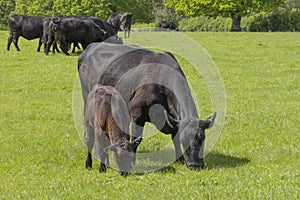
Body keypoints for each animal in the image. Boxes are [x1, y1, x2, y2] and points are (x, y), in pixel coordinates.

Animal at [78, 43, 217, 170]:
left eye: (202, 139)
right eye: (185, 140)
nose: (195, 165)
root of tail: (91, 46)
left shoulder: (172, 118)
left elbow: (175, 137)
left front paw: (180, 159)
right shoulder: (137, 114)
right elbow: (136, 140)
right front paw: (132, 162)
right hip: (86, 96)